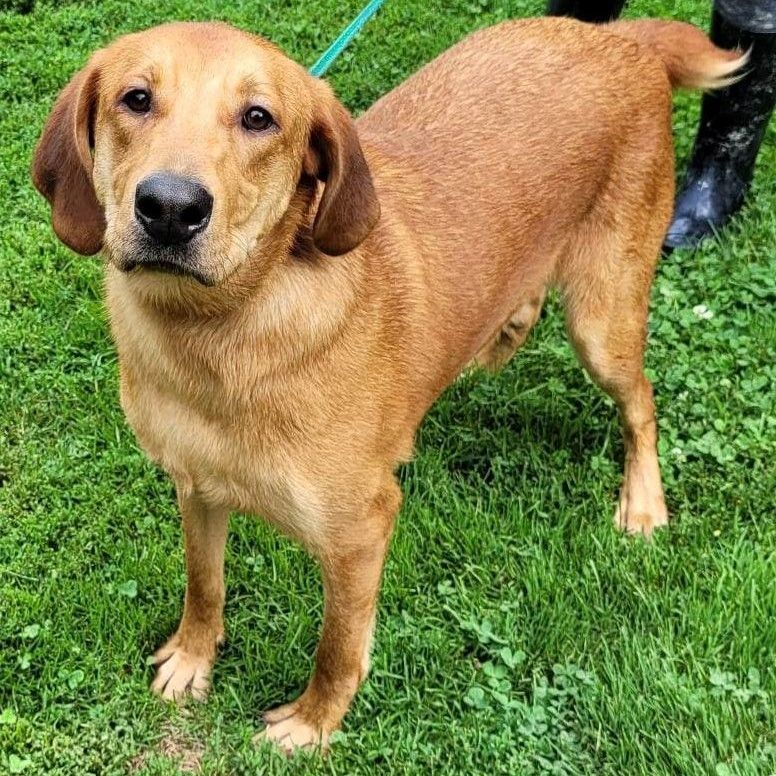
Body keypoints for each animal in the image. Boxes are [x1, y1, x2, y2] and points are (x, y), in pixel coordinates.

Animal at [33, 13, 744, 752]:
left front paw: (312, 724)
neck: (218, 335)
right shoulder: (196, 486)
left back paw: (644, 503)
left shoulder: (359, 533)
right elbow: (205, 585)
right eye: (136, 99)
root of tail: (623, 38)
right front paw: (195, 658)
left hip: (604, 322)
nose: (170, 208)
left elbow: (338, 647)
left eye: (259, 118)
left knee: (642, 403)